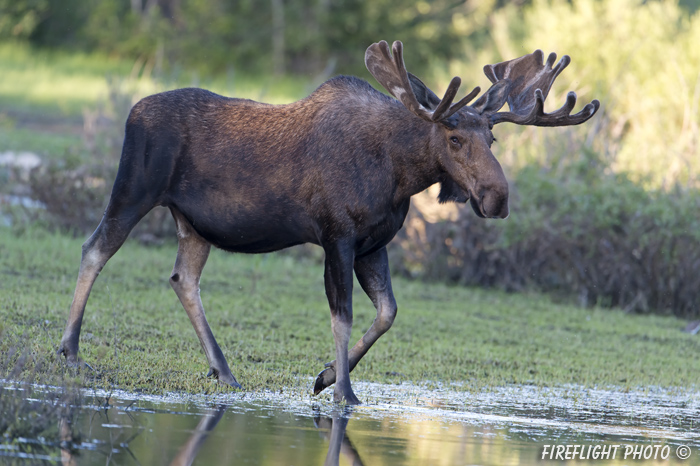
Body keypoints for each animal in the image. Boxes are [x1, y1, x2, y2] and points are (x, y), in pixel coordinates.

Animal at [57, 41, 600, 404]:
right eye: (453, 138)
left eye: (493, 138)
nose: (497, 197)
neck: (399, 174)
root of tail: (132, 111)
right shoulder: (336, 235)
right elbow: (344, 316)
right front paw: (345, 392)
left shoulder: (373, 244)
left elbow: (388, 313)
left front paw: (324, 377)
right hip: (135, 188)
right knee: (95, 248)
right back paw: (70, 349)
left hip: (193, 223)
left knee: (182, 278)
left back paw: (223, 370)